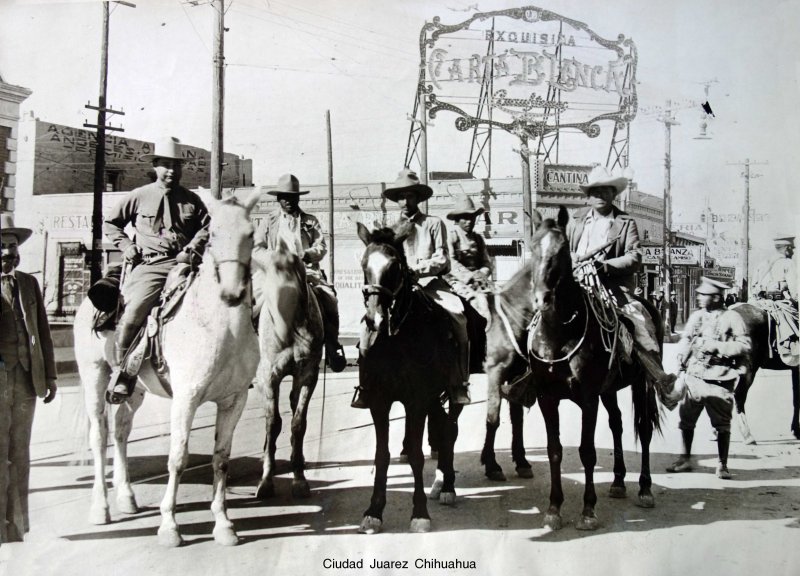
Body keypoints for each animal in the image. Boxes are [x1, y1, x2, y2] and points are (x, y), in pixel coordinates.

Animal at [74, 191, 260, 548]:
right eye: (213, 236)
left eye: (251, 235)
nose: (232, 293)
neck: (220, 327)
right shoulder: (186, 399)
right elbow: (178, 458)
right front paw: (169, 526)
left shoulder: (235, 400)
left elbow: (221, 458)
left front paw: (223, 524)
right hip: (94, 376)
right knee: (99, 435)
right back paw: (100, 508)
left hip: (134, 390)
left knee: (121, 431)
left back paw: (127, 498)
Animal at [356, 223, 462, 532]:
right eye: (364, 264)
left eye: (394, 267)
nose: (375, 319)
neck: (397, 339)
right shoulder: (379, 402)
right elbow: (381, 455)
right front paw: (374, 511)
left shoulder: (416, 401)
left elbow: (416, 455)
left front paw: (420, 513)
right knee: (442, 426)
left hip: (453, 389)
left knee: (450, 430)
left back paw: (447, 486)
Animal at [528, 217, 660, 532]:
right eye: (532, 249)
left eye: (562, 252)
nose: (541, 299)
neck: (559, 334)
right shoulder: (546, 398)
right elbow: (554, 450)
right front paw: (554, 508)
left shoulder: (588, 398)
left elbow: (587, 451)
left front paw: (588, 511)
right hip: (609, 389)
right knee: (617, 424)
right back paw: (618, 482)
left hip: (641, 383)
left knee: (644, 428)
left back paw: (644, 488)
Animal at [724, 304, 800, 444]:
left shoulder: (795, 370)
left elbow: (795, 399)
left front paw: (795, 430)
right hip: (749, 371)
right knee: (739, 395)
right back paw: (747, 435)